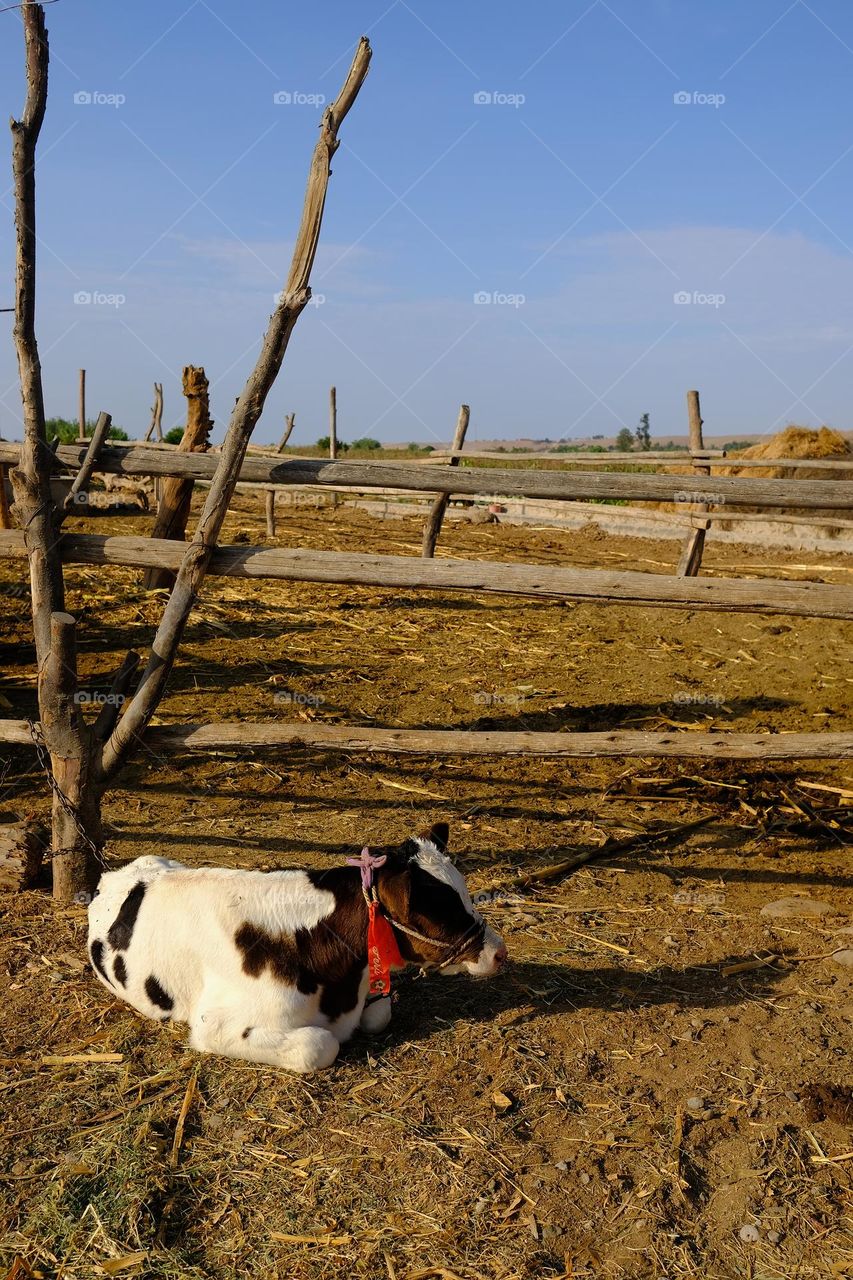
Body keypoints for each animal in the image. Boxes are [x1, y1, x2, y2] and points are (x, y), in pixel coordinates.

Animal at [84, 819, 504, 1070]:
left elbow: (379, 1013)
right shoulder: (213, 1025)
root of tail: (116, 873)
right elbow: (318, 1045)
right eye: (439, 912)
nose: (499, 952)